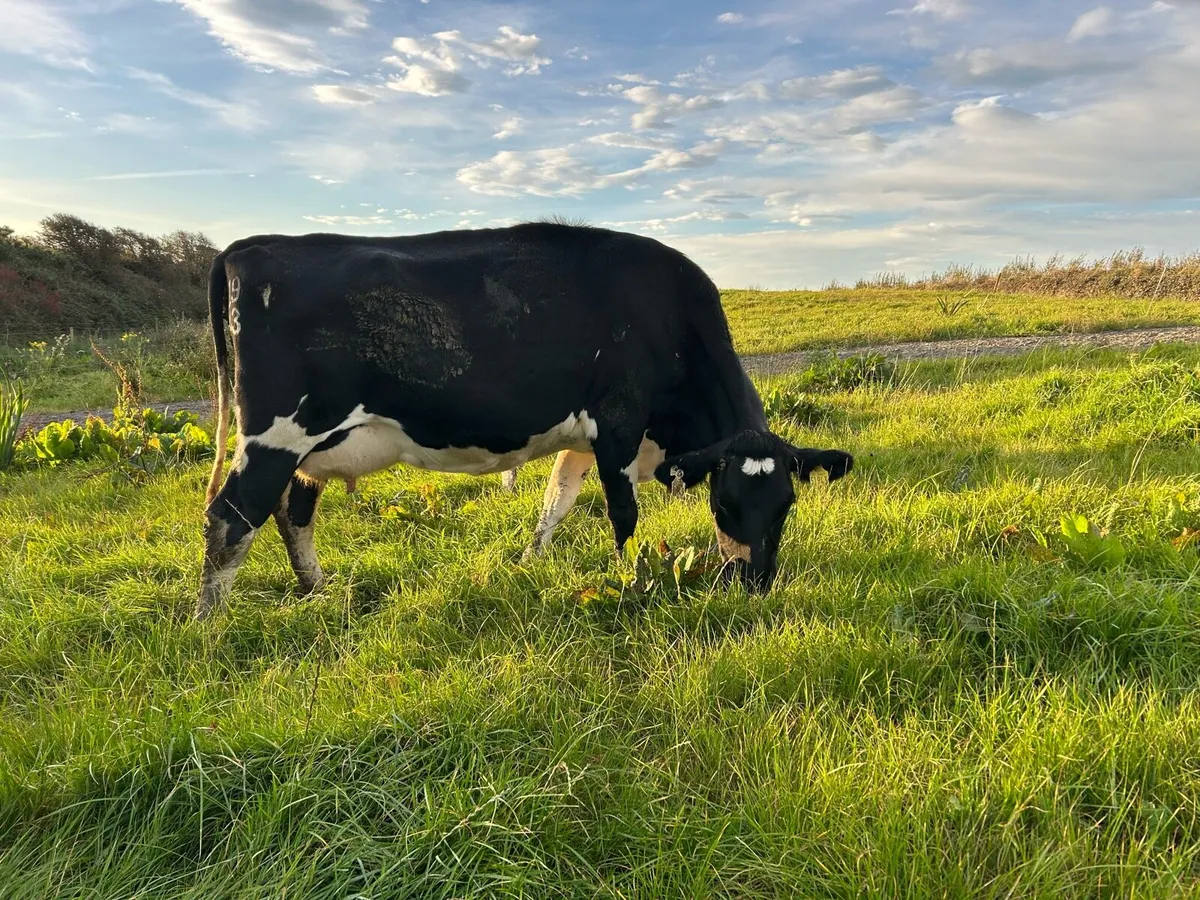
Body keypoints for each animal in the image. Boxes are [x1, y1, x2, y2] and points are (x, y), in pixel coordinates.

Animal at [198, 223, 854, 618]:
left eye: (787, 504)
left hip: (314, 447)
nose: (756, 583)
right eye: (724, 502)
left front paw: (529, 561)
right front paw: (633, 579)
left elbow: (555, 502)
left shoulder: (585, 440)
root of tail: (248, 246)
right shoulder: (618, 423)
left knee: (292, 511)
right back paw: (210, 624)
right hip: (276, 436)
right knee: (231, 517)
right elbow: (624, 515)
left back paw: (318, 591)